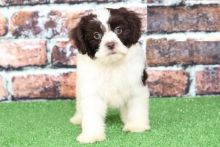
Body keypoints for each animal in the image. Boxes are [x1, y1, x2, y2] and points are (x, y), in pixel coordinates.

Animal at [69, 7, 150, 144]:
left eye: (119, 30)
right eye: (96, 35)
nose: (110, 44)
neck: (111, 64)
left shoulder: (137, 83)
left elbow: (136, 106)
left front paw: (136, 125)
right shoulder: (91, 90)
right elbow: (91, 113)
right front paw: (92, 135)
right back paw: (78, 118)